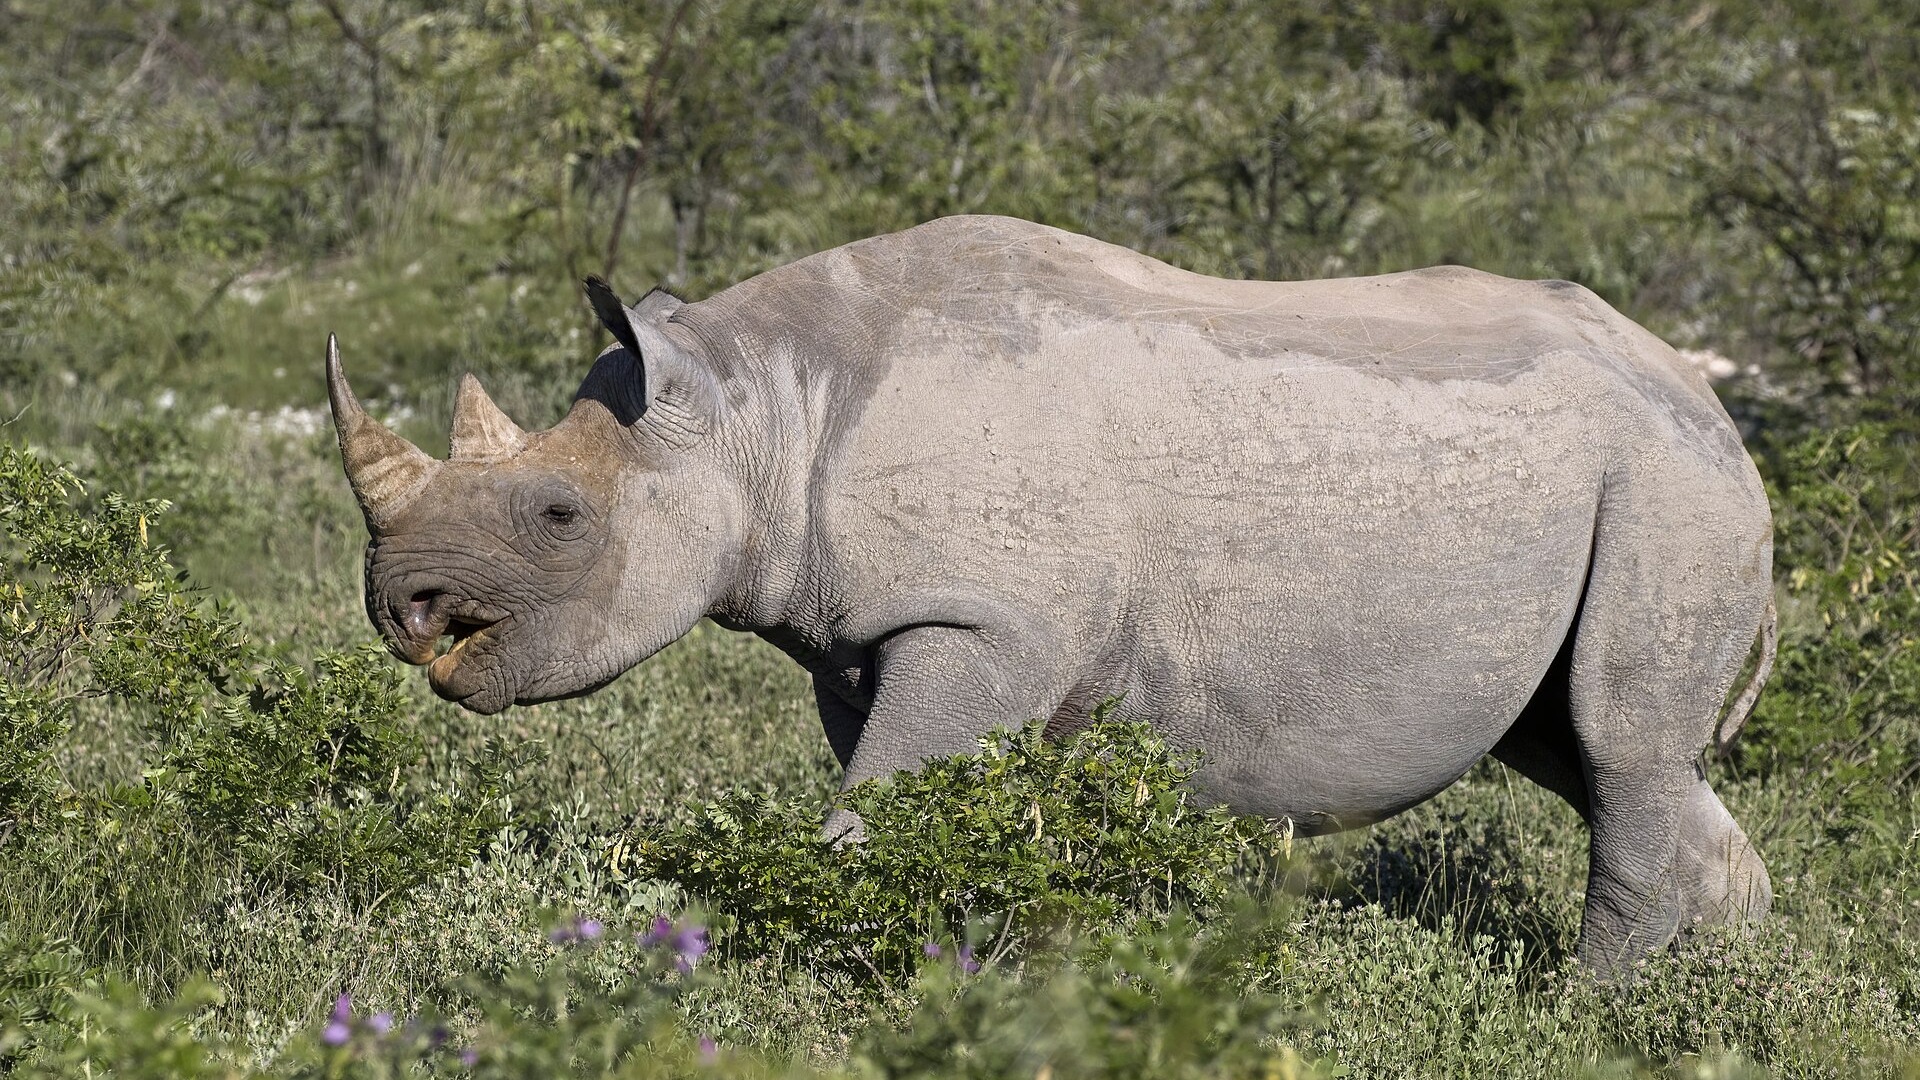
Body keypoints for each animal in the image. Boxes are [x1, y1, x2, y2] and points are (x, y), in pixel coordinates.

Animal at [325, 214, 1775, 975]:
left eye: (560, 517)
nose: (404, 609)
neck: (759, 407)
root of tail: (1710, 399)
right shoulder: (870, 638)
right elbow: (925, 800)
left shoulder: (976, 616)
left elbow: (876, 809)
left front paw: (824, 968)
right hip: (1644, 478)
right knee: (1586, 749)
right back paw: (1716, 995)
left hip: (1670, 486)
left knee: (1618, 748)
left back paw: (1585, 1006)